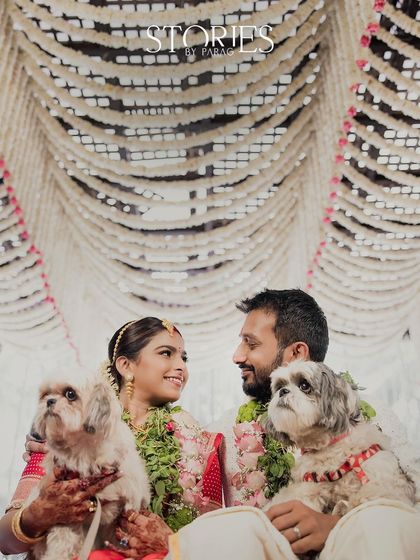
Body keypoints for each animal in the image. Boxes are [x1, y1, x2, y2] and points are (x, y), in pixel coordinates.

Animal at [28, 370, 150, 560]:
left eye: (70, 394)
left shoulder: (129, 493)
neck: (85, 450)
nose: (49, 401)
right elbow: (61, 542)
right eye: (45, 394)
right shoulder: (66, 513)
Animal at [265, 361, 415, 517]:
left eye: (304, 385)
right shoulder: (310, 485)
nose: (283, 391)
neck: (328, 448)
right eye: (279, 386)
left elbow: (368, 498)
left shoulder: (387, 485)